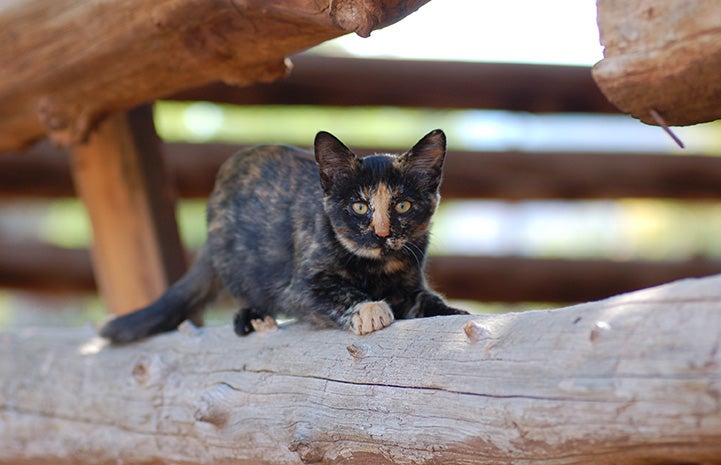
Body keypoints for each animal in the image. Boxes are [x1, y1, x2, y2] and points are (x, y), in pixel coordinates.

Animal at [100, 129, 466, 342]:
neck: (376, 266)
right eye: (359, 206)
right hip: (236, 258)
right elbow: (335, 291)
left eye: (403, 205)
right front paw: (370, 309)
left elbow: (425, 300)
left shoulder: (409, 282)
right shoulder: (300, 287)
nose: (381, 233)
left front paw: (452, 312)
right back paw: (253, 318)